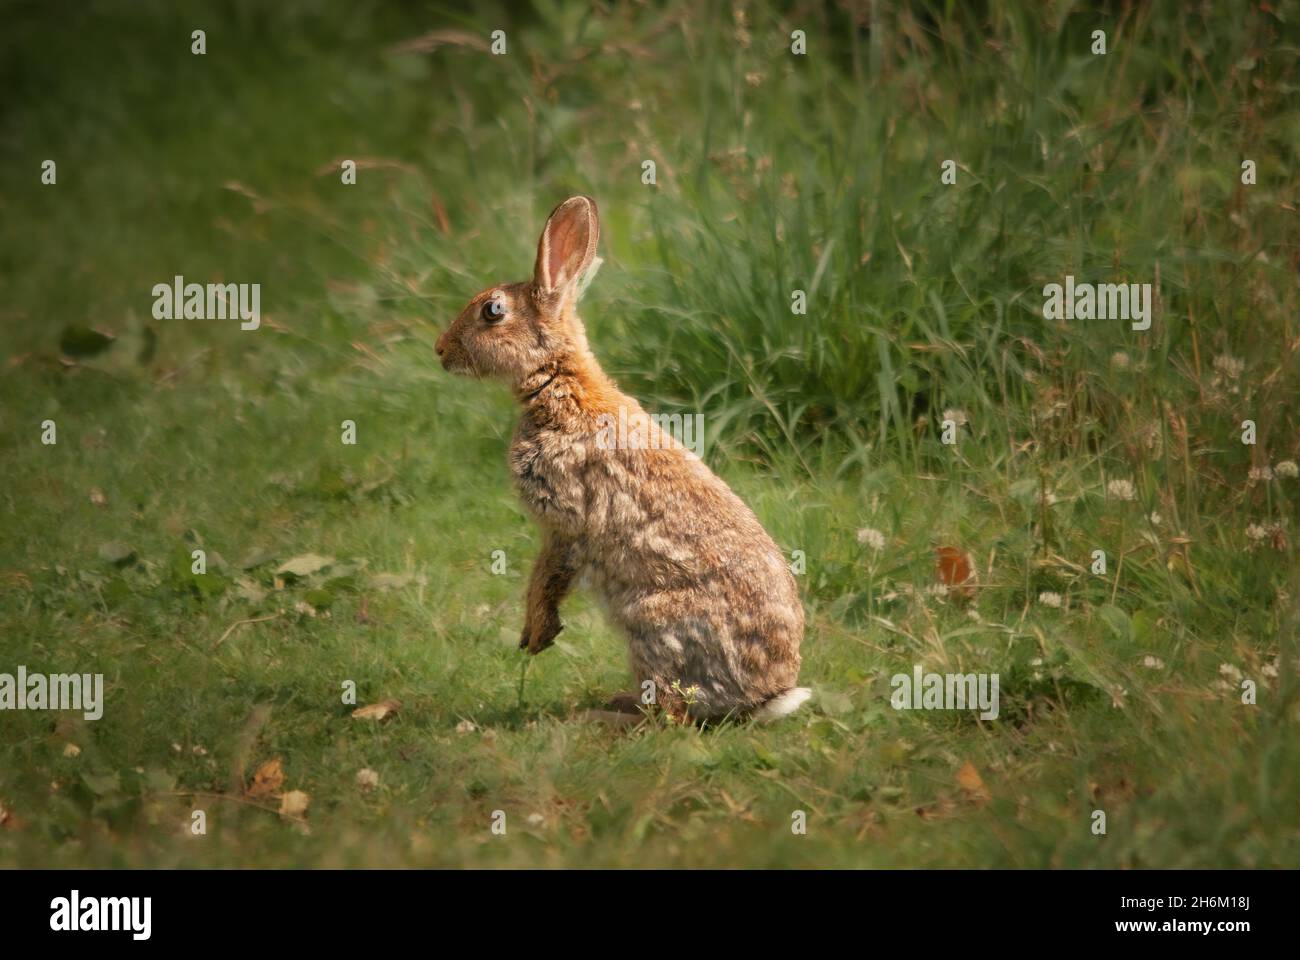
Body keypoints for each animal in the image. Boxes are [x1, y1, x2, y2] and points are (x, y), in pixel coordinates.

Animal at [431, 195, 806, 718]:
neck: (558, 382)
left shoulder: (566, 520)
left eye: (492, 311)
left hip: (652, 624)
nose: (440, 350)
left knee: (672, 713)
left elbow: (549, 575)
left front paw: (537, 633)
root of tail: (769, 694)